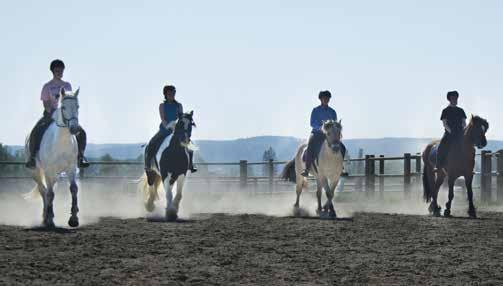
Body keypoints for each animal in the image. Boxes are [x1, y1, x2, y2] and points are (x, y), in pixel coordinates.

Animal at [25, 87, 82, 228]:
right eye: (64, 107)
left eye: (77, 106)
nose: (74, 128)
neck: (61, 142)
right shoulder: (48, 170)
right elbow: (50, 193)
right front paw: (50, 219)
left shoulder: (71, 169)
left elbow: (73, 189)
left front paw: (74, 219)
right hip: (36, 172)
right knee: (43, 191)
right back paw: (45, 218)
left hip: (55, 175)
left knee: (47, 191)